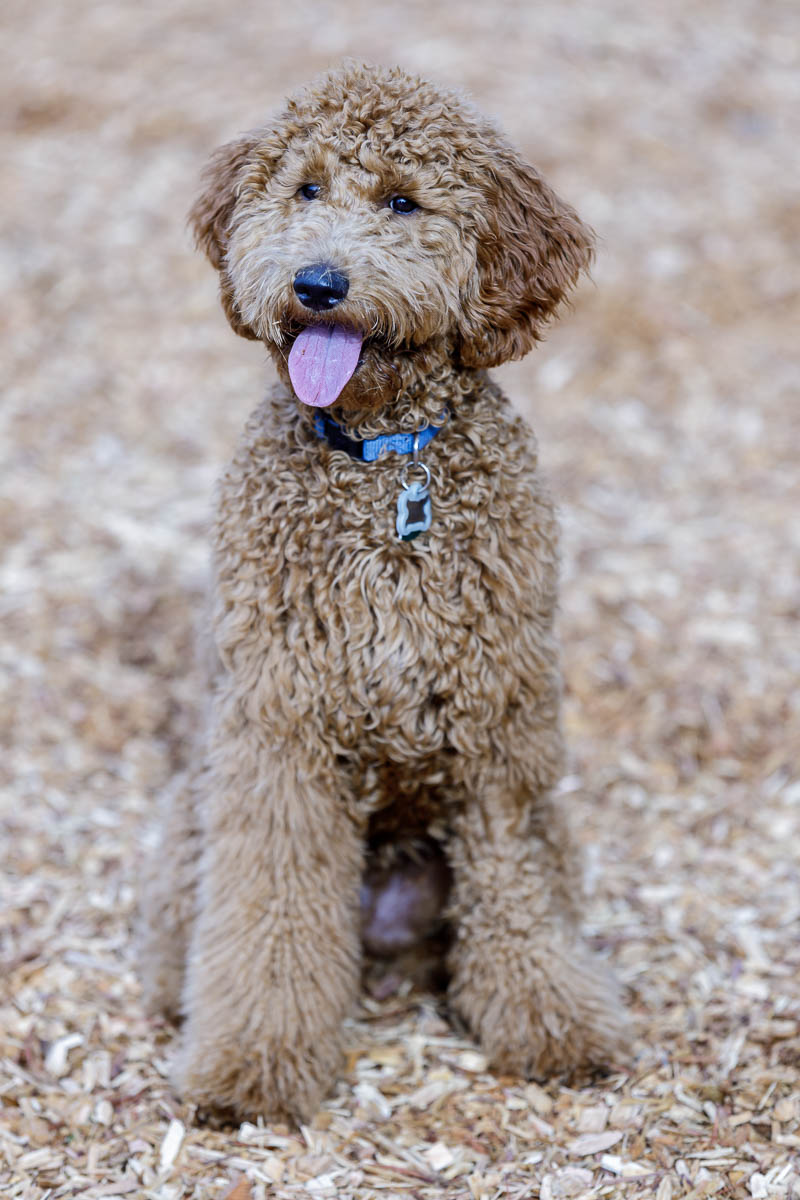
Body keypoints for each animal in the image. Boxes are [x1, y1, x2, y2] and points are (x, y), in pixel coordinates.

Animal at [139, 60, 623, 1118]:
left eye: (404, 201)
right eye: (306, 189)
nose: (318, 283)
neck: (382, 461)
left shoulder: (501, 731)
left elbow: (515, 897)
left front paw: (553, 1025)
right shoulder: (280, 731)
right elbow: (271, 910)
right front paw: (251, 1063)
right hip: (198, 806)